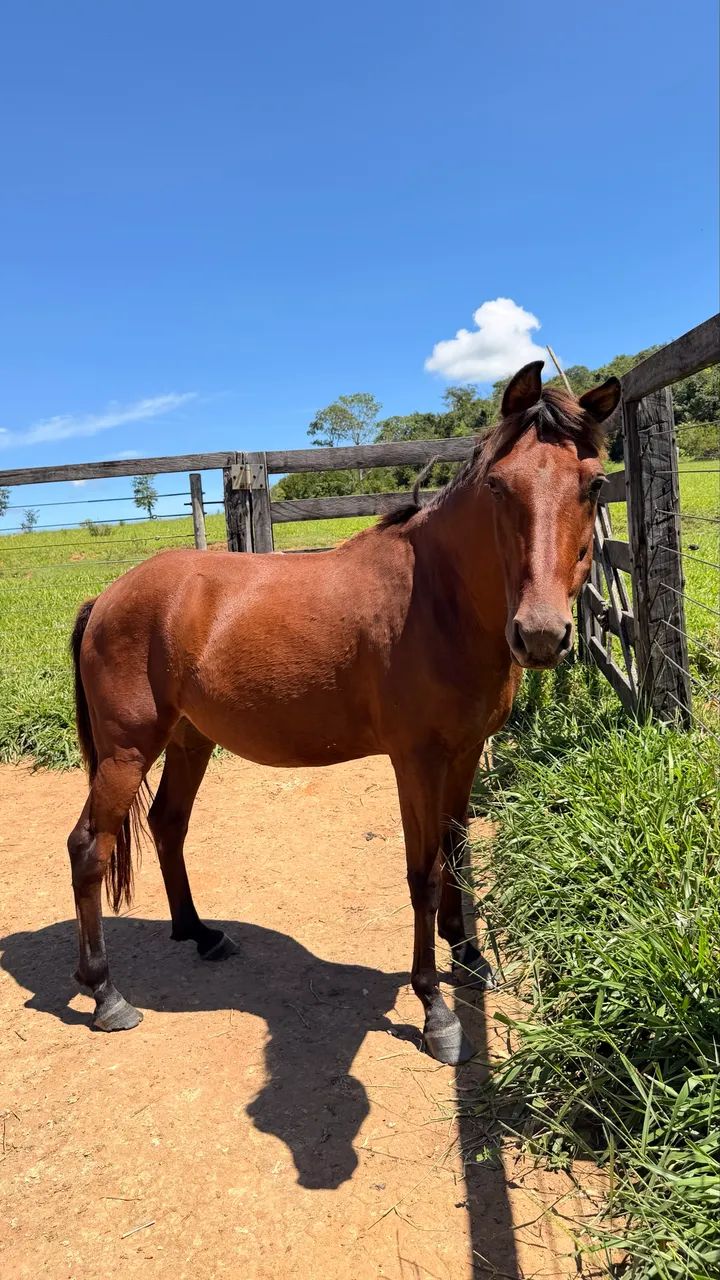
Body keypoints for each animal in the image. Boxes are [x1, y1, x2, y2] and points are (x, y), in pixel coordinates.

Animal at [67, 360, 620, 1064]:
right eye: (499, 485)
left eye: (594, 484)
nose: (541, 634)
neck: (437, 599)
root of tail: (107, 598)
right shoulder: (416, 762)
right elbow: (423, 872)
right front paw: (436, 1010)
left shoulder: (466, 752)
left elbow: (456, 848)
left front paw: (468, 955)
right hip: (127, 751)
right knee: (90, 847)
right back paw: (105, 993)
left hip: (190, 740)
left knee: (167, 824)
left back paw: (201, 934)